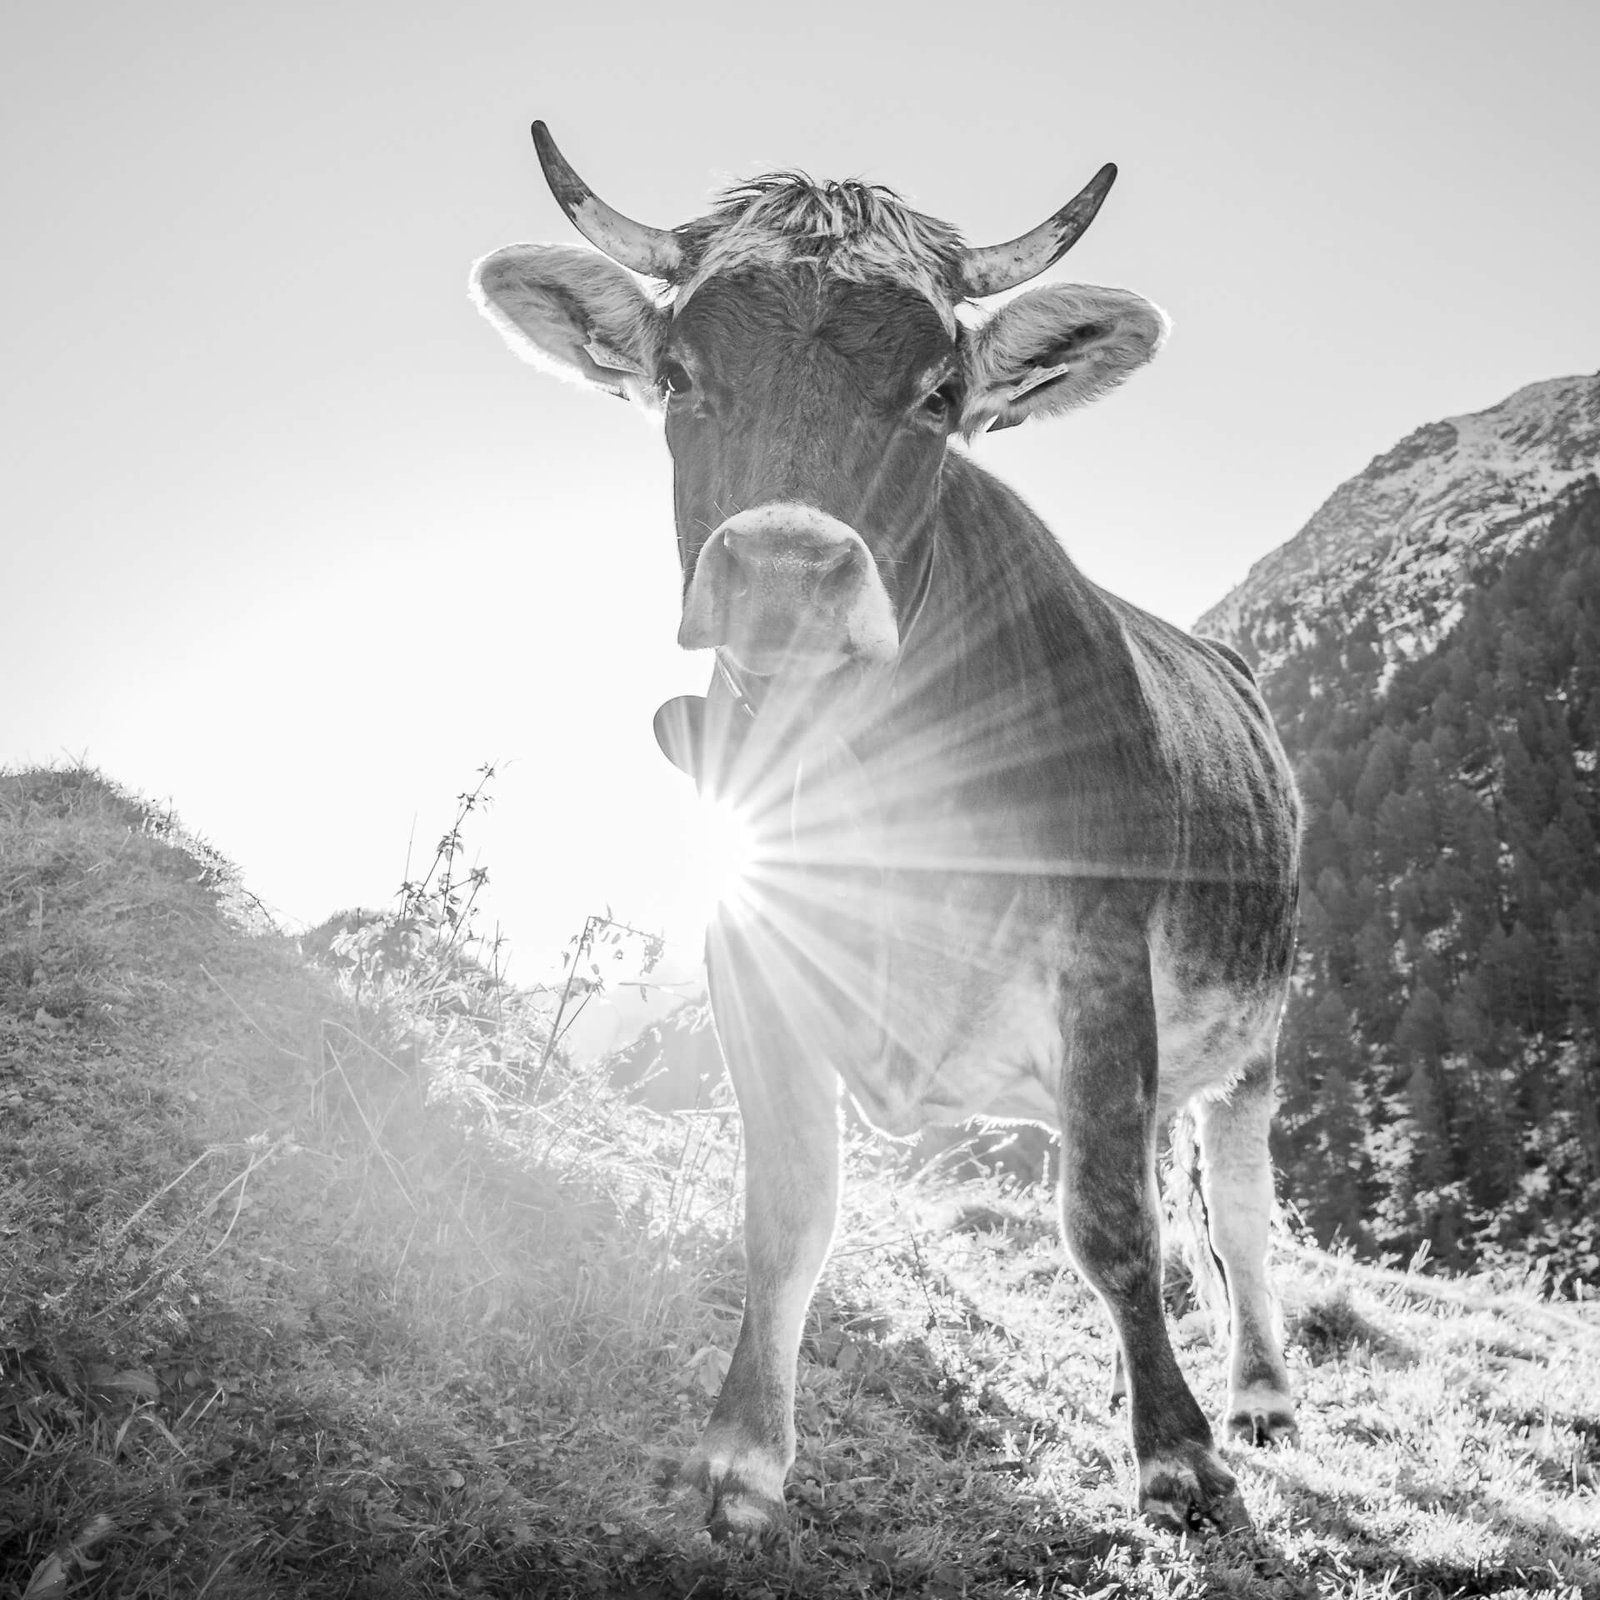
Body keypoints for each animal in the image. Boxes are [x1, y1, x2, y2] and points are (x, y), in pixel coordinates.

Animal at [472, 123, 1301, 1540]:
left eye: (936, 394)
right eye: (679, 376)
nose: (786, 573)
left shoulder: (1101, 952)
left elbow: (1112, 1222)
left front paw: (1180, 1456)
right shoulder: (747, 937)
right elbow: (789, 1203)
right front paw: (743, 1454)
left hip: (1253, 1033)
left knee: (1232, 1212)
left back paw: (1254, 1394)